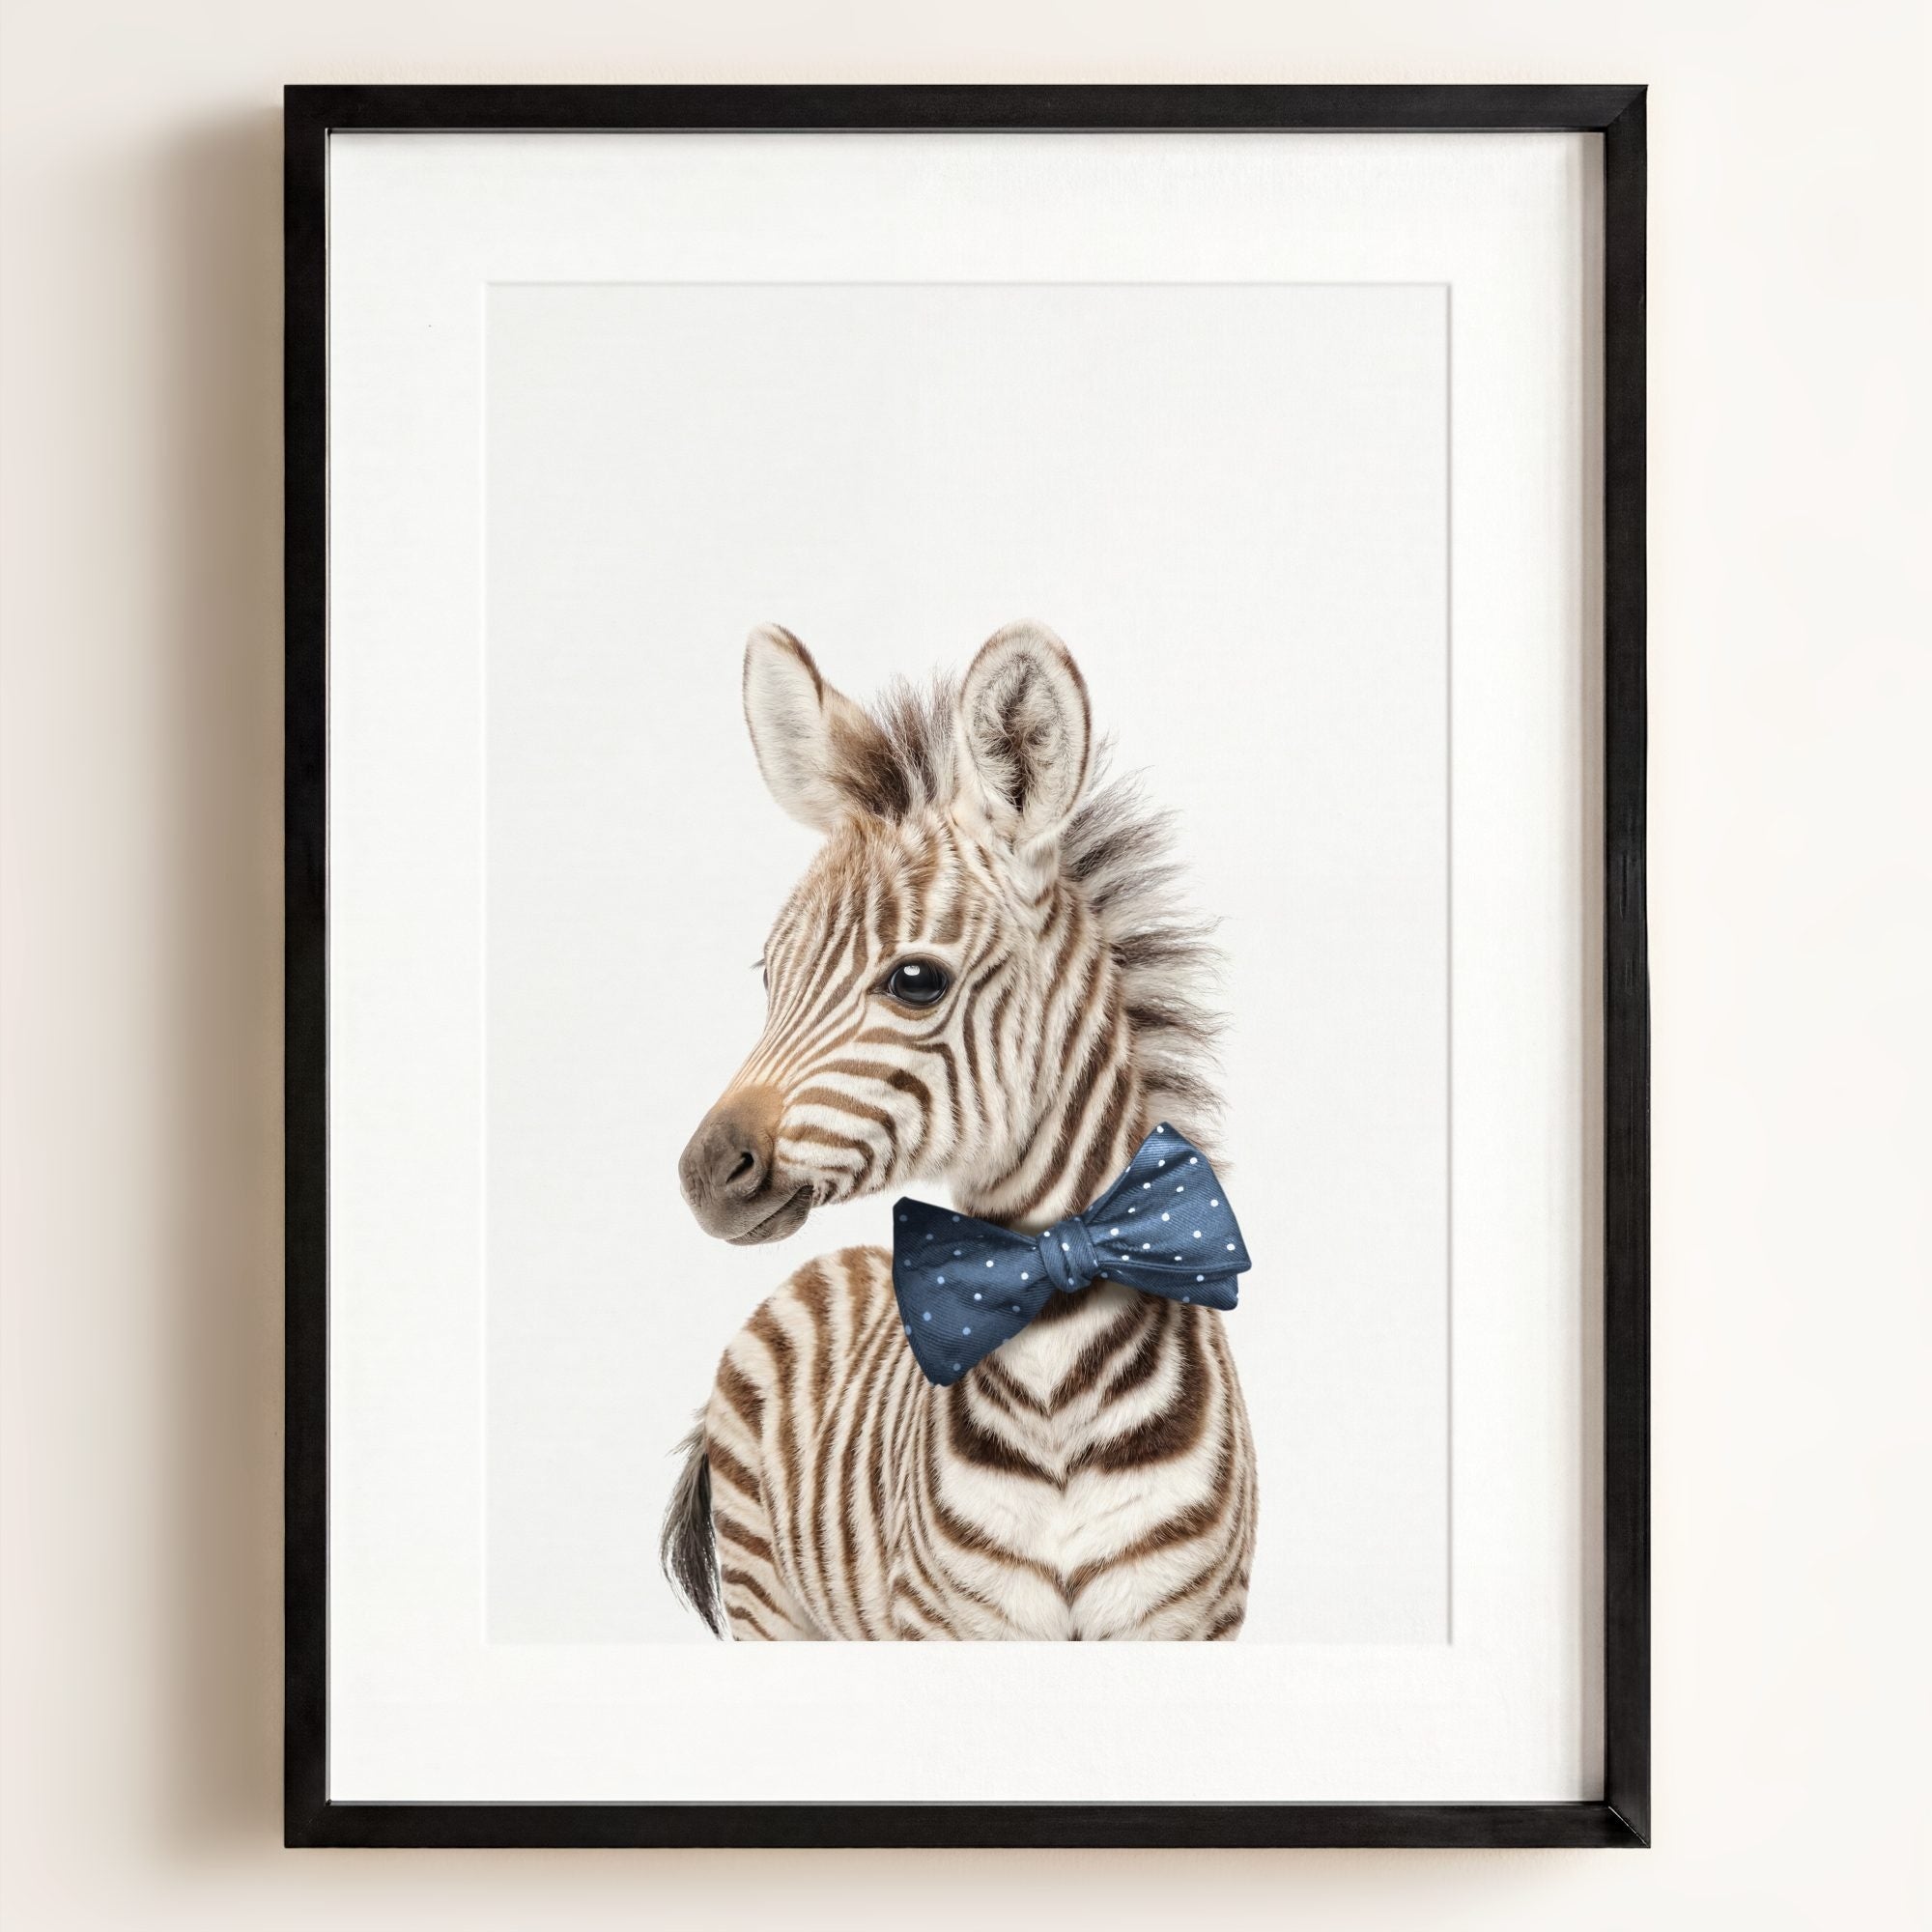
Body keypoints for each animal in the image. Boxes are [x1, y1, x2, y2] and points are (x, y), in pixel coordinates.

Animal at [662, 620, 1257, 1640]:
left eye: (916, 981)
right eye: (770, 975)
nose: (705, 1172)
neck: (1057, 1381)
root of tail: (828, 1266)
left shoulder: (1189, 1621)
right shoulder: (950, 1624)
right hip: (768, 1599)